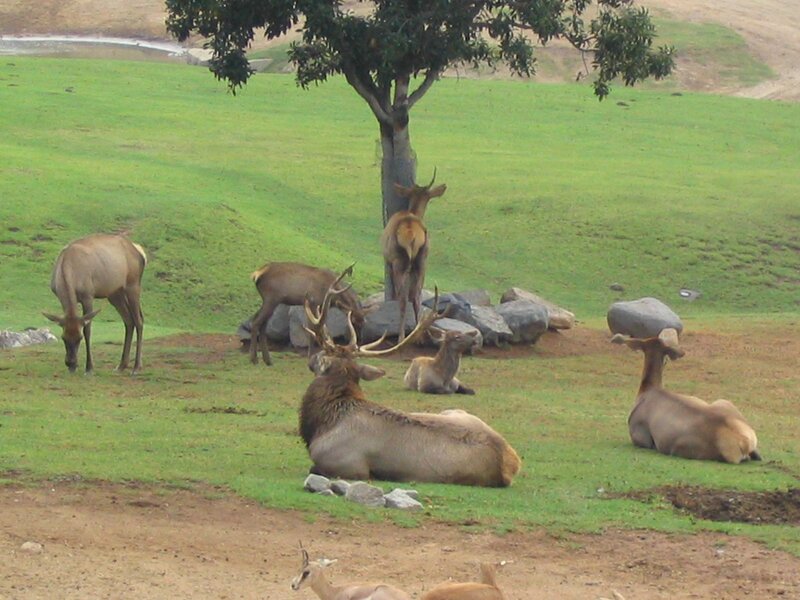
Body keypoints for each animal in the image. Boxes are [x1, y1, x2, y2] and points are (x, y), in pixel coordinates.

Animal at [43, 233, 146, 374]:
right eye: (63, 337)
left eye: (79, 338)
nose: (71, 363)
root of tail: (139, 251)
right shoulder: (60, 296)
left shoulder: (88, 295)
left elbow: (88, 330)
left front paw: (89, 368)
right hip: (115, 293)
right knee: (129, 320)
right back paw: (121, 365)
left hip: (133, 285)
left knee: (139, 320)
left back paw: (136, 367)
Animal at [299, 269, 522, 487]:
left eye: (322, 355)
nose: (310, 361)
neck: (324, 422)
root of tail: (513, 462)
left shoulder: (348, 466)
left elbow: (315, 468)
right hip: (454, 411)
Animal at [380, 170, 447, 342]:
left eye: (428, 197)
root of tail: (412, 235)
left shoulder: (388, 260)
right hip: (423, 259)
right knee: (417, 295)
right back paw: (421, 334)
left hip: (400, 262)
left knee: (404, 298)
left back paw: (401, 336)